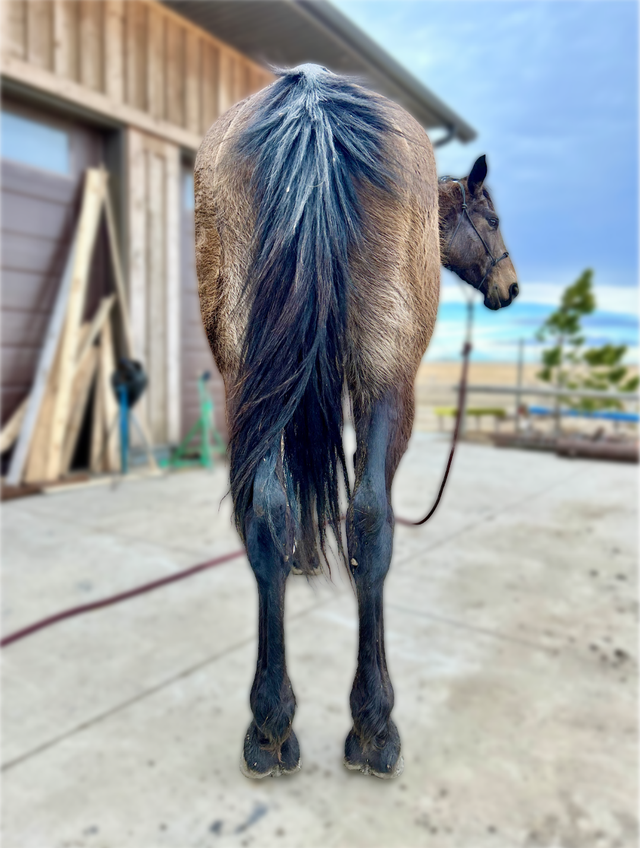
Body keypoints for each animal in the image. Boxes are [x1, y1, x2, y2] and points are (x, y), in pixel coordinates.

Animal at [194, 64, 518, 780]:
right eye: (492, 218)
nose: (510, 288)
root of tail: (312, 99)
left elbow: (289, 494)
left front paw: (303, 558)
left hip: (247, 376)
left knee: (267, 513)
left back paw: (269, 728)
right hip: (387, 379)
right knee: (370, 521)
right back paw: (373, 726)